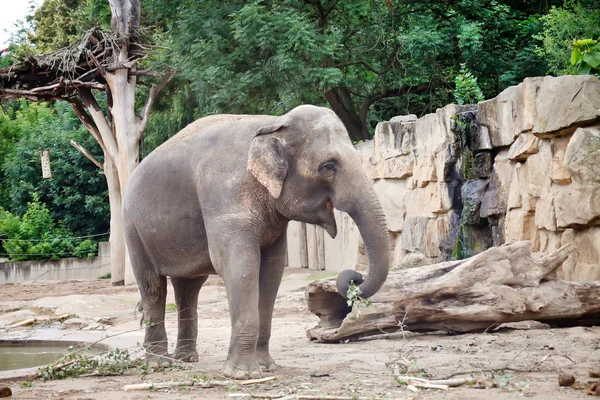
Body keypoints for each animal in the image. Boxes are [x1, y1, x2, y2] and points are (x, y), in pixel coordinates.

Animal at [124, 103, 392, 378]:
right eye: (328, 166)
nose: (354, 277)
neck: (273, 123)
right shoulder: (225, 196)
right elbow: (239, 266)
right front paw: (242, 374)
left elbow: (272, 270)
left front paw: (266, 367)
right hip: (133, 228)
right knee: (153, 287)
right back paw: (159, 364)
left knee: (188, 288)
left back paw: (186, 358)